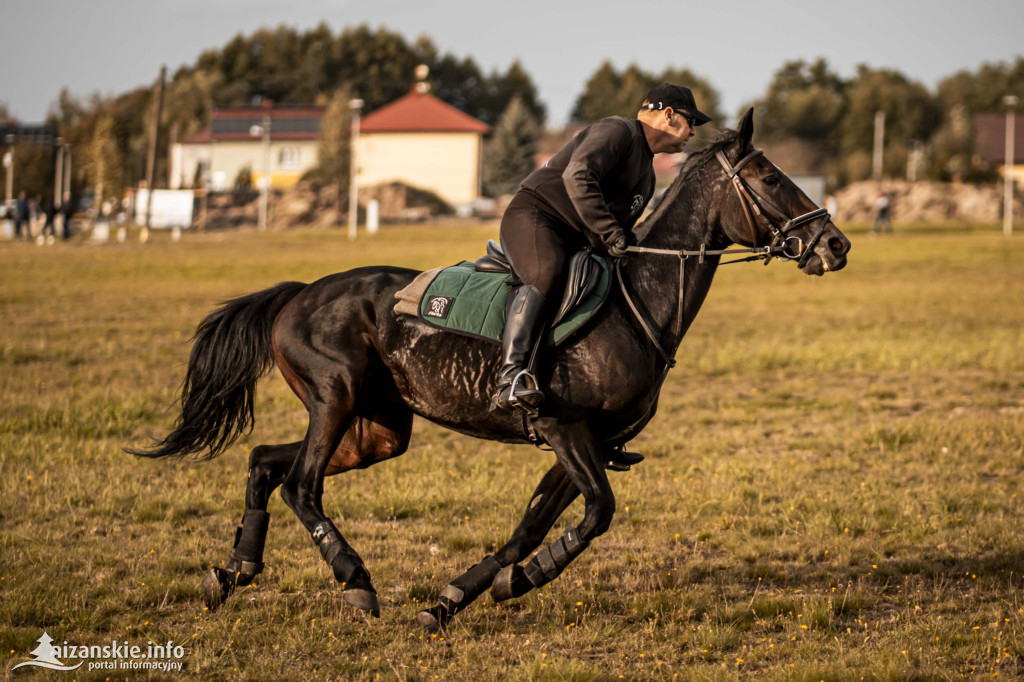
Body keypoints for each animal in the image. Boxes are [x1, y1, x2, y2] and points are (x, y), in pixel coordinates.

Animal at [130, 109, 847, 630]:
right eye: (771, 178)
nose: (836, 244)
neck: (637, 298)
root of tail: (299, 292)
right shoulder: (565, 429)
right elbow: (597, 515)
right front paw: (515, 582)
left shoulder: (589, 443)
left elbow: (530, 528)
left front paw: (461, 596)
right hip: (334, 398)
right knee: (301, 485)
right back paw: (355, 583)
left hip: (379, 428)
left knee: (264, 462)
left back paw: (233, 572)